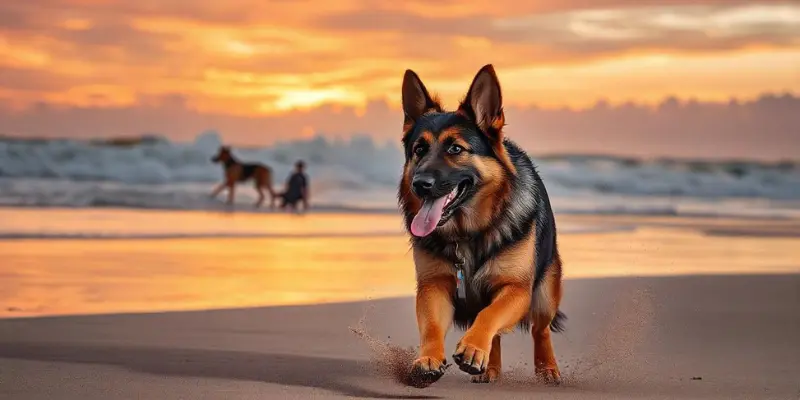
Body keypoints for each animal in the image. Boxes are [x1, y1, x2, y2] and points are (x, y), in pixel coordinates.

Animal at [396, 65, 564, 388]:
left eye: (455, 148)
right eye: (419, 149)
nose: (420, 184)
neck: (468, 234)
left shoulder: (516, 289)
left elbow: (490, 315)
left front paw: (473, 347)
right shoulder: (434, 287)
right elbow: (432, 326)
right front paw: (429, 358)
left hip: (544, 293)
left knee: (540, 329)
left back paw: (547, 368)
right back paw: (489, 368)